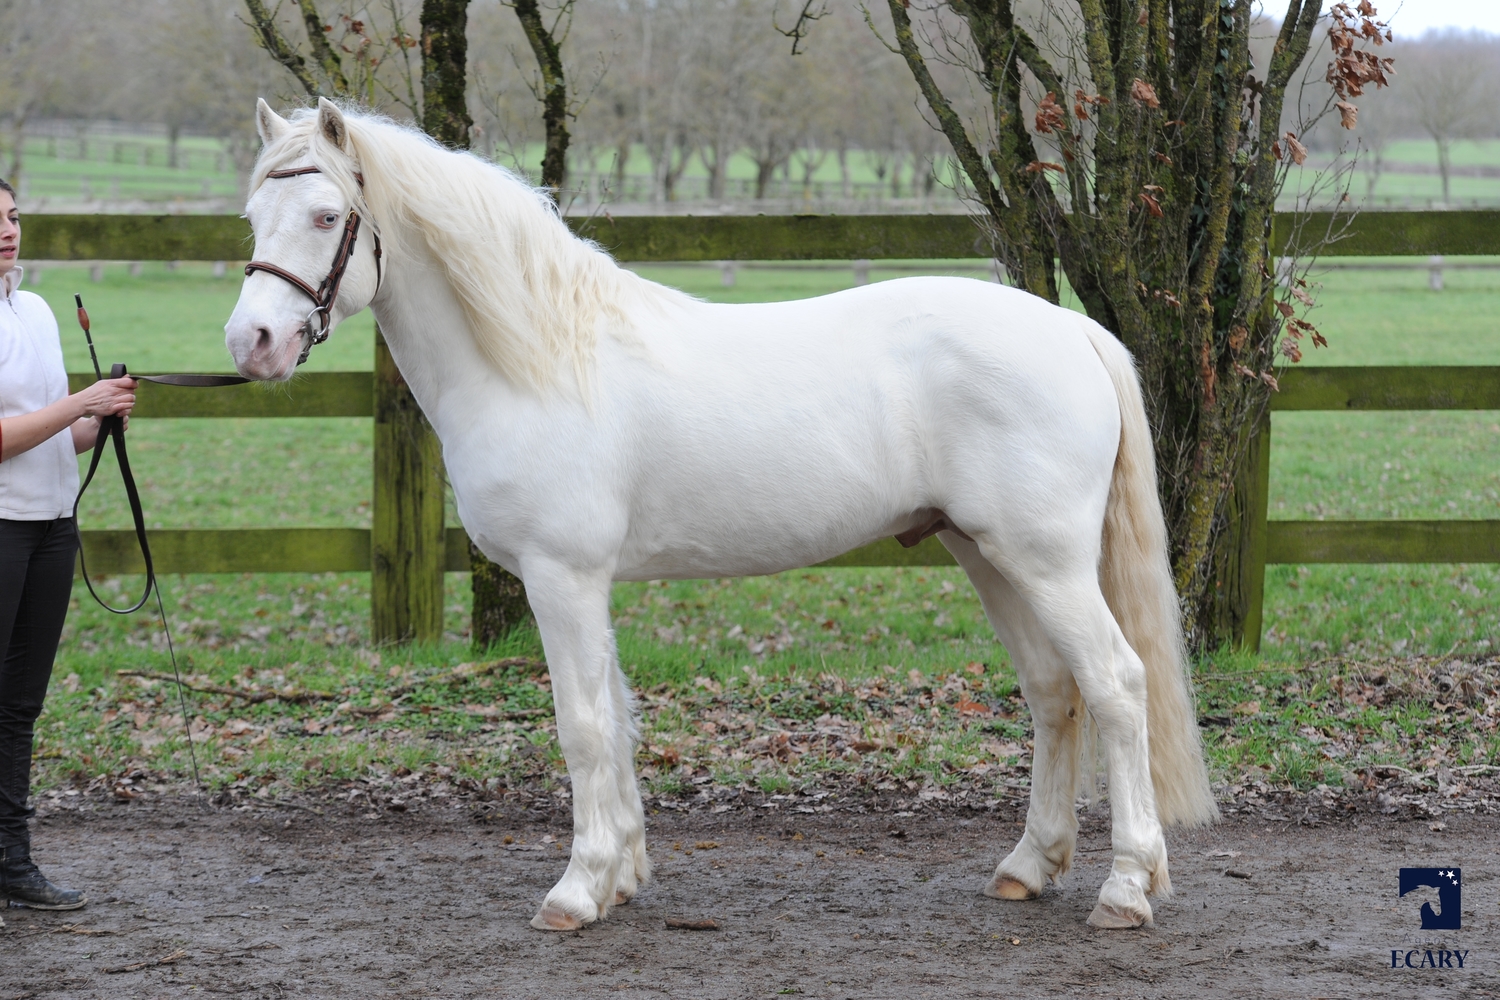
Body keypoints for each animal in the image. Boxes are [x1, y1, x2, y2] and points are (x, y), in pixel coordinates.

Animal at [231, 99, 1218, 929]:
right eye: (252, 216)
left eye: (326, 217)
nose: (253, 343)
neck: (541, 362)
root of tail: (1072, 329)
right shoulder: (588, 584)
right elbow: (617, 717)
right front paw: (621, 875)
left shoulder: (562, 577)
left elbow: (582, 725)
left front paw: (577, 890)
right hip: (988, 554)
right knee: (1054, 692)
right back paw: (1028, 866)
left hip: (1046, 562)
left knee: (1116, 685)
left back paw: (1127, 888)